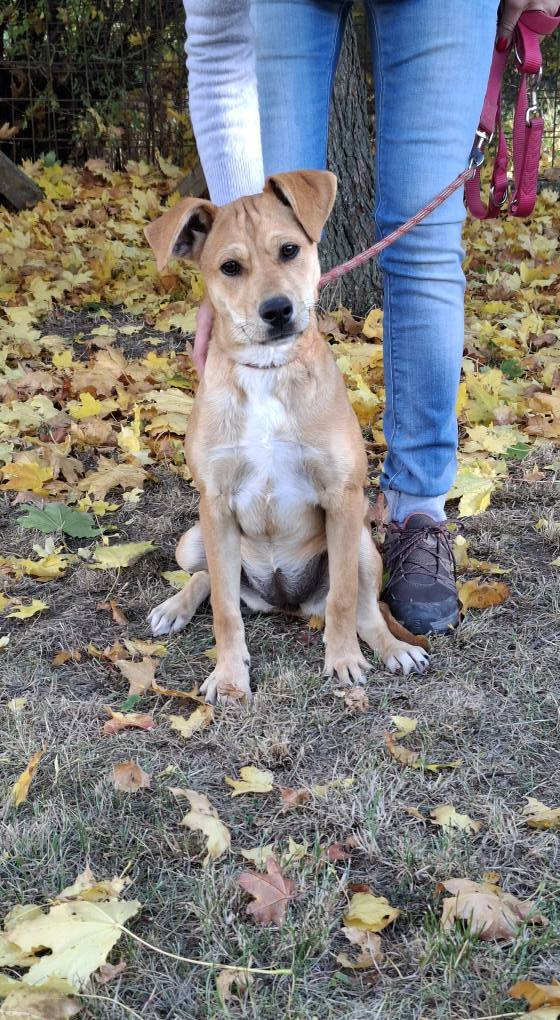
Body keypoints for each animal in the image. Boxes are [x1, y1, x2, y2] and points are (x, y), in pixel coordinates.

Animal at [144, 170, 429, 703]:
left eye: (290, 250)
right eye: (230, 267)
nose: (277, 310)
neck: (268, 372)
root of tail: (285, 604)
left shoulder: (342, 497)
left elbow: (343, 601)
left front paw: (343, 660)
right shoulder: (215, 505)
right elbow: (224, 611)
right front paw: (229, 676)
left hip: (362, 543)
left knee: (366, 609)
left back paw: (393, 649)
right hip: (193, 540)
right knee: (210, 580)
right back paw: (174, 607)